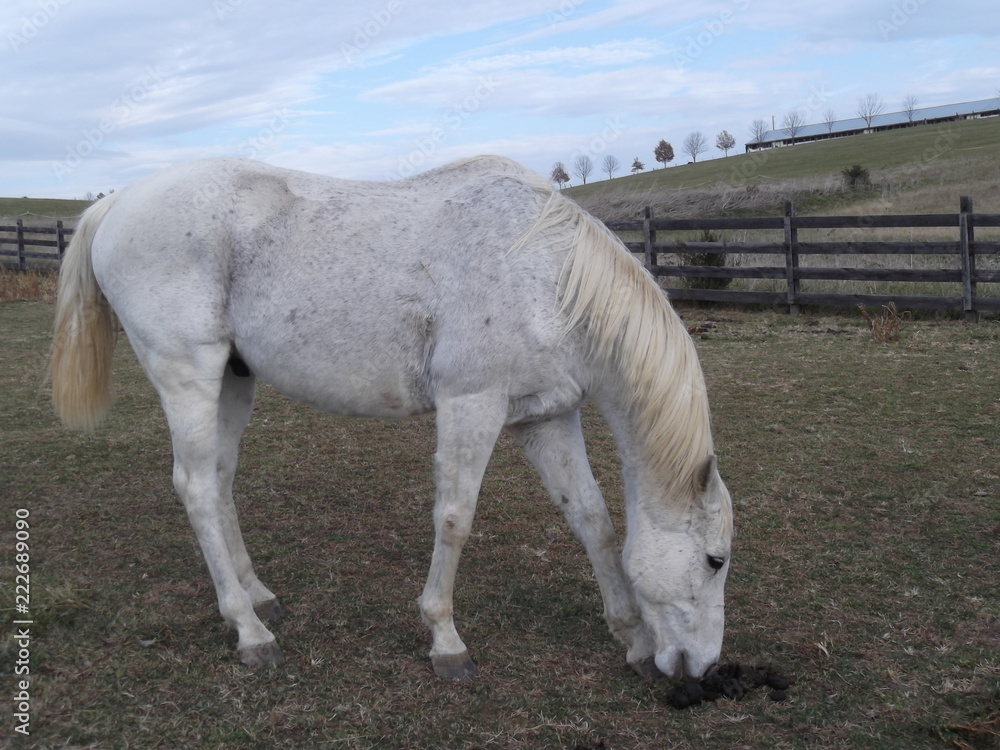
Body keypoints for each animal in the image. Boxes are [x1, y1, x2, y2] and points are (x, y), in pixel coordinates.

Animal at [50, 155, 733, 682]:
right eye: (714, 561)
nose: (700, 671)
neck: (543, 270)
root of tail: (118, 202)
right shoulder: (471, 403)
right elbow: (455, 518)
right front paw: (446, 641)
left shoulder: (546, 416)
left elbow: (592, 520)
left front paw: (632, 638)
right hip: (187, 374)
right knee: (194, 488)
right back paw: (248, 632)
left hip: (233, 382)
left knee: (217, 482)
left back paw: (256, 597)